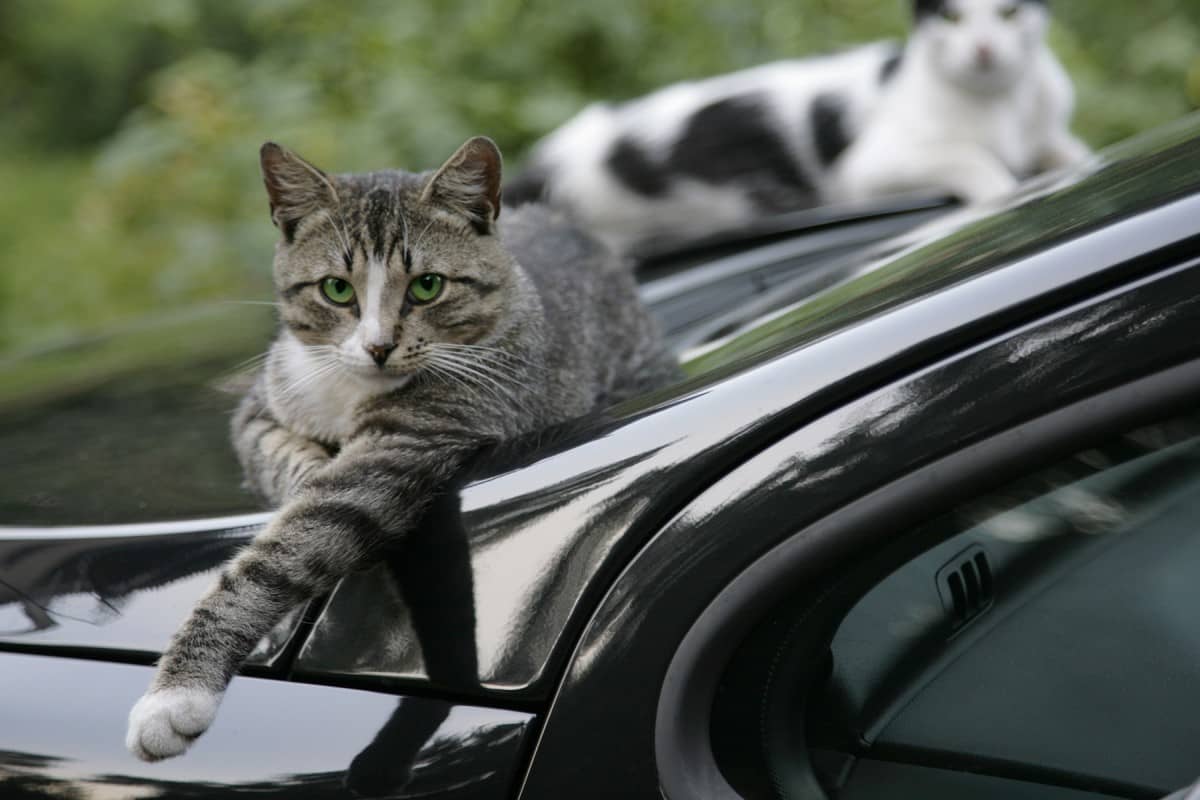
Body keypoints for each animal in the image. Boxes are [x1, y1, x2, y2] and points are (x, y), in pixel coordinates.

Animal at [129, 134, 686, 762]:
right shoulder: (259, 409)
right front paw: (304, 476)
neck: (354, 389)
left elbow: (285, 549)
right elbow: (280, 460)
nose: (378, 347)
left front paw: (175, 697)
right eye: (336, 289)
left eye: (427, 285)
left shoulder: (413, 437)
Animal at [511, 0, 1094, 253]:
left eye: (1009, 12)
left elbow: (1071, 154)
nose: (984, 49)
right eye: (952, 18)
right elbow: (977, 162)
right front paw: (1006, 199)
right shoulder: (868, 169)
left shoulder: (1049, 136)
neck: (1005, 103)